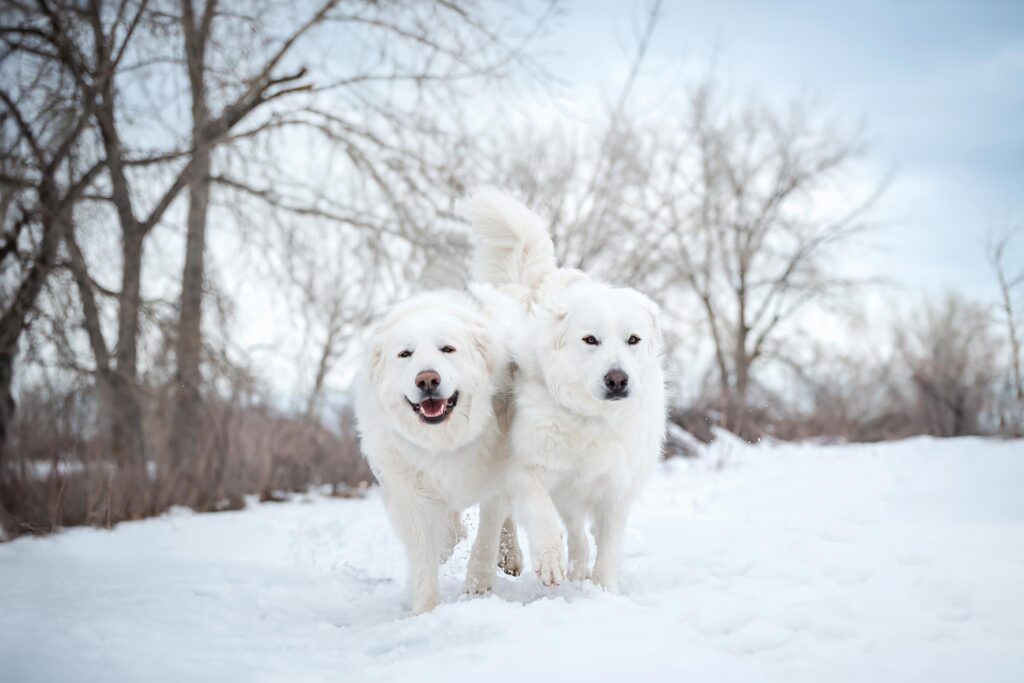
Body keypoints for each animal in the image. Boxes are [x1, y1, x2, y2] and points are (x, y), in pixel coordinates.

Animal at [356, 288, 524, 614]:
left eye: (447, 349)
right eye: (405, 354)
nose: (427, 379)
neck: (445, 440)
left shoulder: (497, 476)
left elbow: (488, 531)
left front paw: (477, 583)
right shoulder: (409, 494)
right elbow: (423, 553)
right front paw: (424, 611)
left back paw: (509, 555)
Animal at [460, 188, 667, 593]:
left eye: (633, 339)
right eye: (590, 340)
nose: (617, 379)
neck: (589, 419)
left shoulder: (615, 487)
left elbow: (607, 544)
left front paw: (602, 589)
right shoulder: (525, 467)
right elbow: (542, 515)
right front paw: (549, 561)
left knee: (577, 532)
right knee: (497, 515)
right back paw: (491, 567)